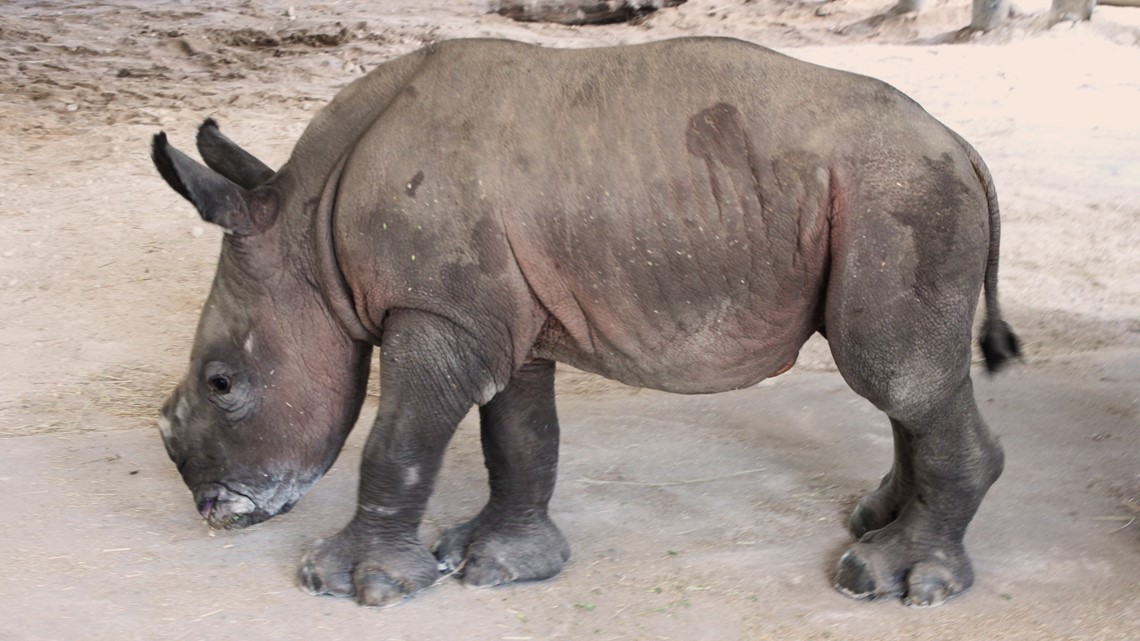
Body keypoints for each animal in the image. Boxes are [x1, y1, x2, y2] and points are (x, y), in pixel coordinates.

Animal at [151, 37, 1020, 608]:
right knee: (906, 379)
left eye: (222, 382)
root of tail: (965, 146)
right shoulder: (498, 316)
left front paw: (350, 584)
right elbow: (519, 438)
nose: (212, 507)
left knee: (893, 370)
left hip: (901, 192)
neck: (306, 226)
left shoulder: (438, 309)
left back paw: (893, 579)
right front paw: (495, 564)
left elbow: (397, 442)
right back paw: (873, 525)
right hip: (892, 190)